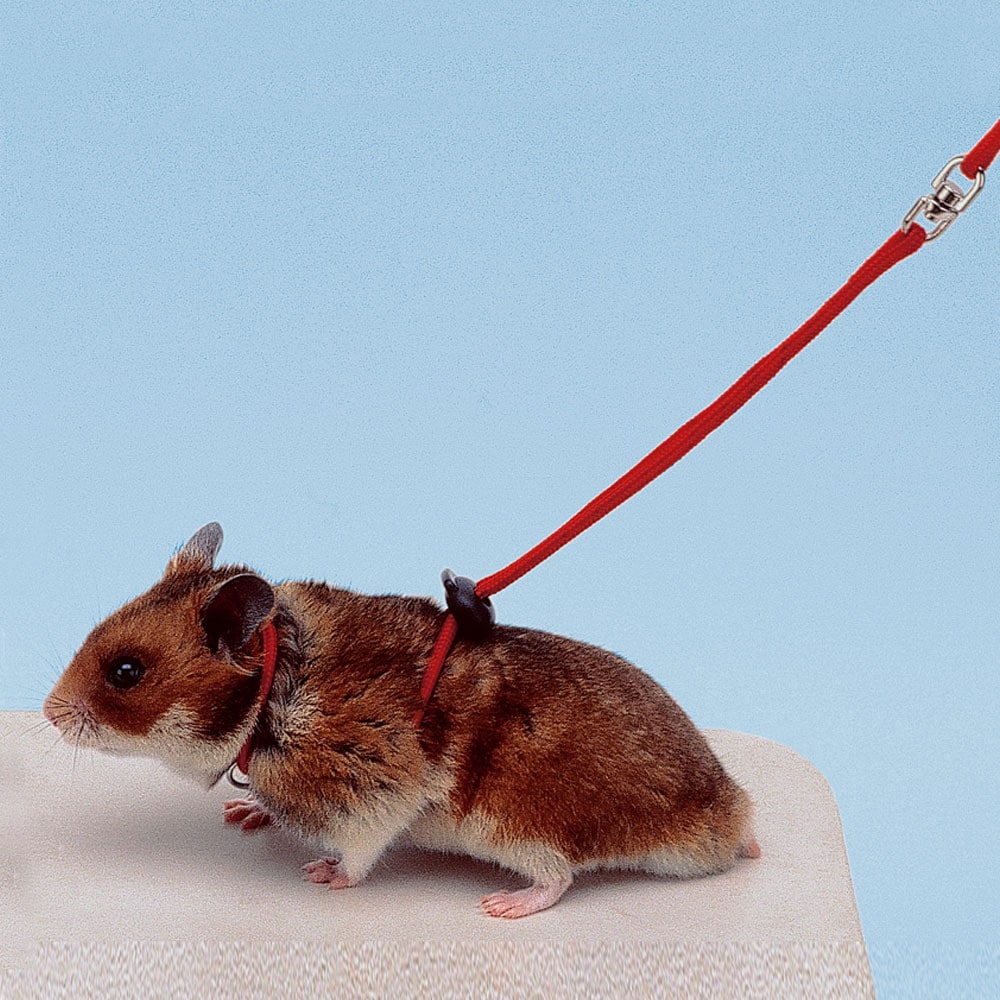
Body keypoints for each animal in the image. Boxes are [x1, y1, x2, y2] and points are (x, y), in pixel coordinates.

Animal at [43, 523, 760, 918]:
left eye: (126, 672)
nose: (48, 716)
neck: (271, 695)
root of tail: (730, 816)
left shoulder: (375, 791)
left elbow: (361, 854)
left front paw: (321, 876)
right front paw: (243, 813)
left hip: (521, 827)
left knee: (557, 878)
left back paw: (501, 906)